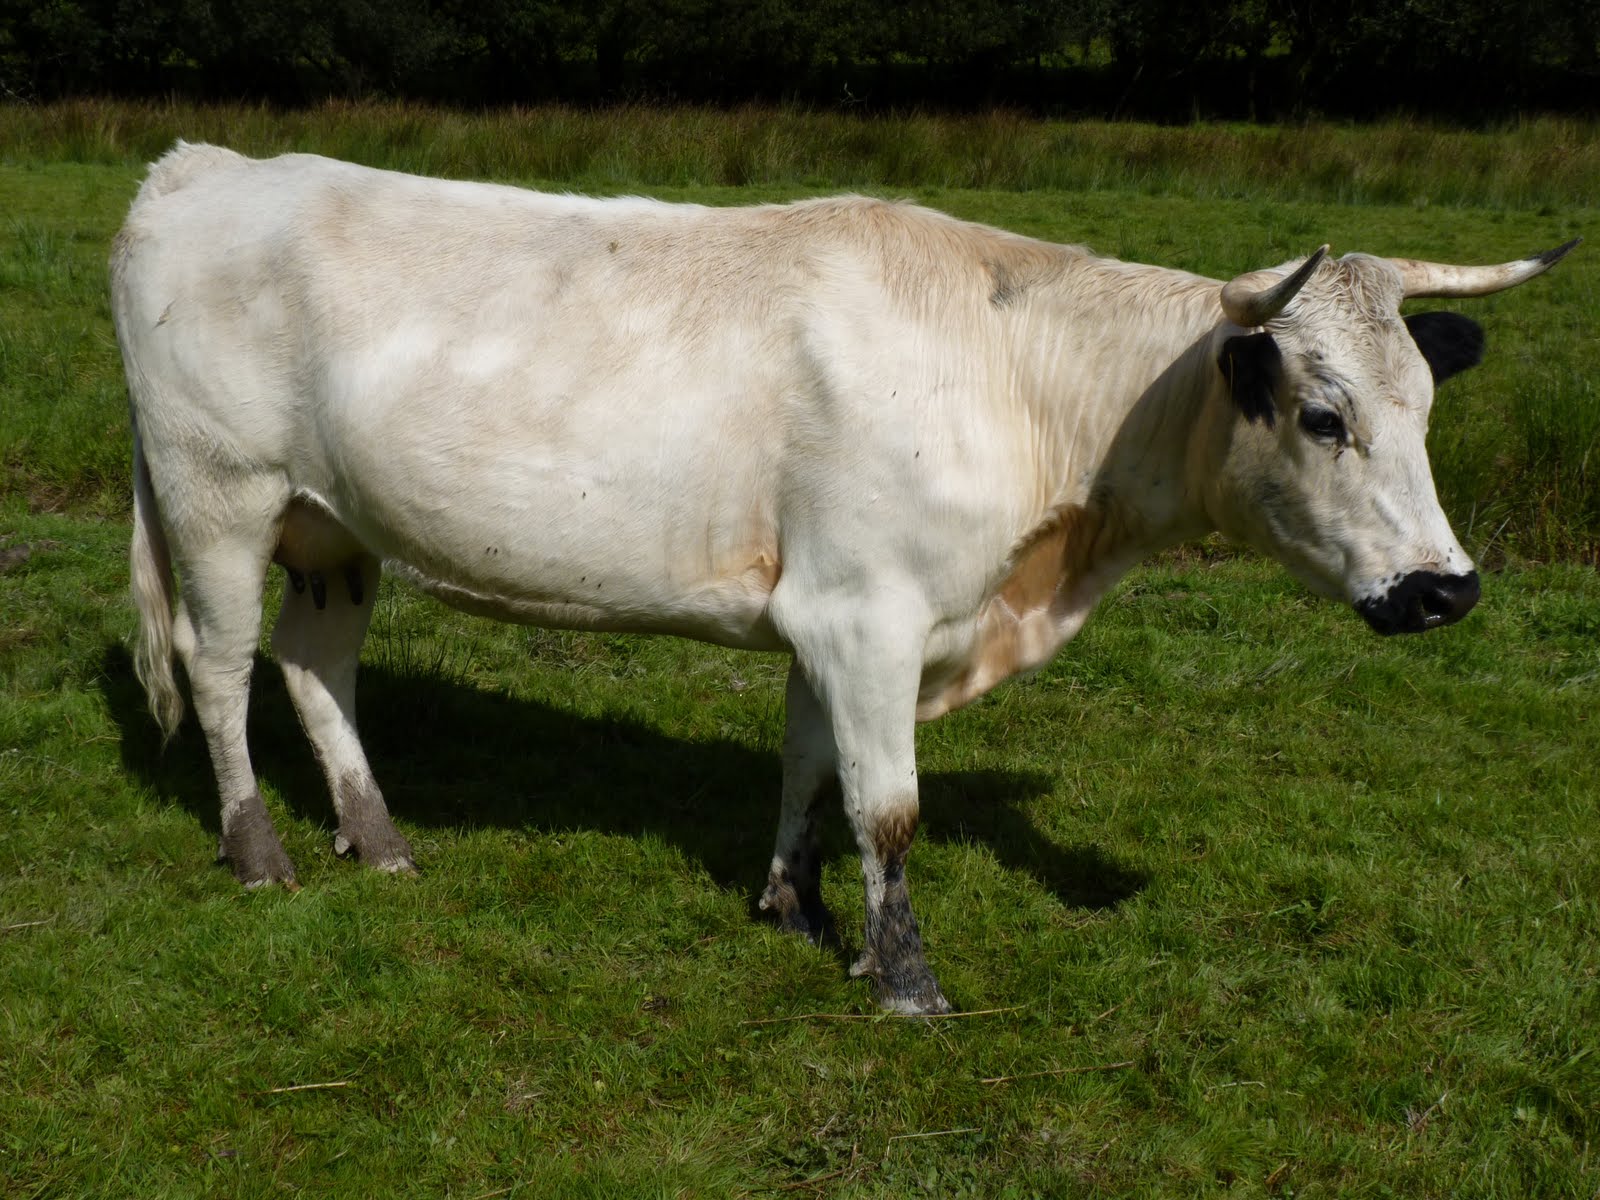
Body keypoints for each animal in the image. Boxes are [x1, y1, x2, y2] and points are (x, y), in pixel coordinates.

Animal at [112, 143, 1578, 1015]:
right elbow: (890, 808)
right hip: (216, 493)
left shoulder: (829, 615)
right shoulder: (866, 612)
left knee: (316, 666)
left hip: (333, 527)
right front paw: (908, 981)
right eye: (1324, 417)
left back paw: (380, 838)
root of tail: (204, 164)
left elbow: (810, 769)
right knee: (218, 666)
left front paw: (798, 911)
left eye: (1426, 404)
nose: (1445, 589)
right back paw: (261, 855)